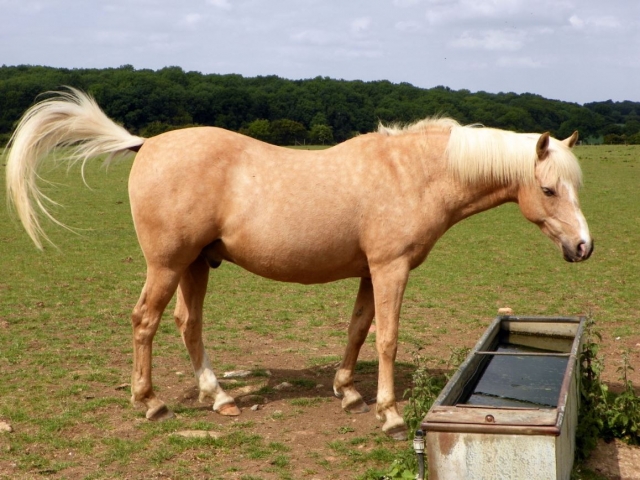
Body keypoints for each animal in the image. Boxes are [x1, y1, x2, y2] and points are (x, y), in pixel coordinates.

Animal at [5, 88, 593, 440]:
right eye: (547, 189)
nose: (584, 247)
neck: (410, 173)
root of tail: (145, 144)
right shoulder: (390, 268)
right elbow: (386, 337)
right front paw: (389, 414)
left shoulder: (368, 271)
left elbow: (358, 328)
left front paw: (348, 392)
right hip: (167, 265)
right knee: (145, 321)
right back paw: (149, 402)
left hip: (195, 266)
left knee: (187, 324)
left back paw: (219, 398)